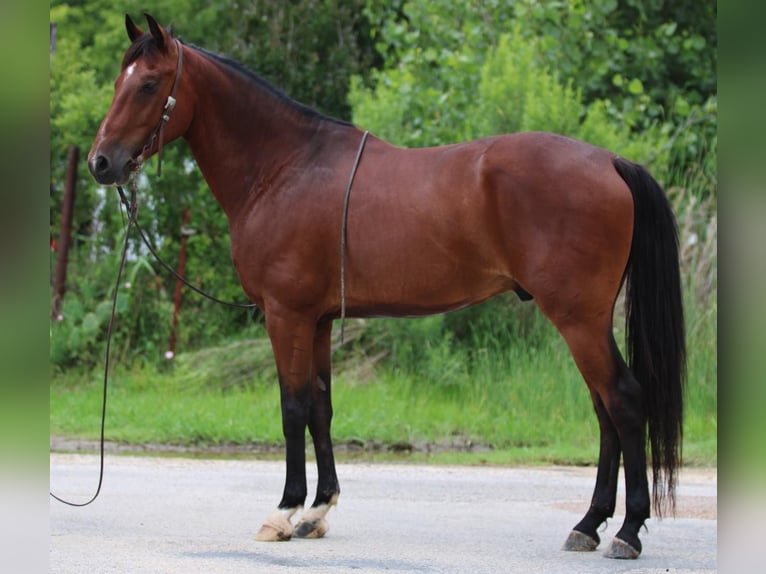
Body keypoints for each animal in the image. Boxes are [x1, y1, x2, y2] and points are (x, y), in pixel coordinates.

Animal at [87, 14, 688, 564]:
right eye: (119, 81)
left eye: (148, 84)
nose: (100, 162)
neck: (284, 167)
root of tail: (610, 161)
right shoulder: (318, 320)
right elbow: (322, 408)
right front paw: (317, 511)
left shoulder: (286, 315)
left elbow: (292, 408)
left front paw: (284, 512)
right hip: (586, 321)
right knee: (604, 409)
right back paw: (588, 524)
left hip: (578, 319)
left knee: (623, 401)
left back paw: (627, 531)